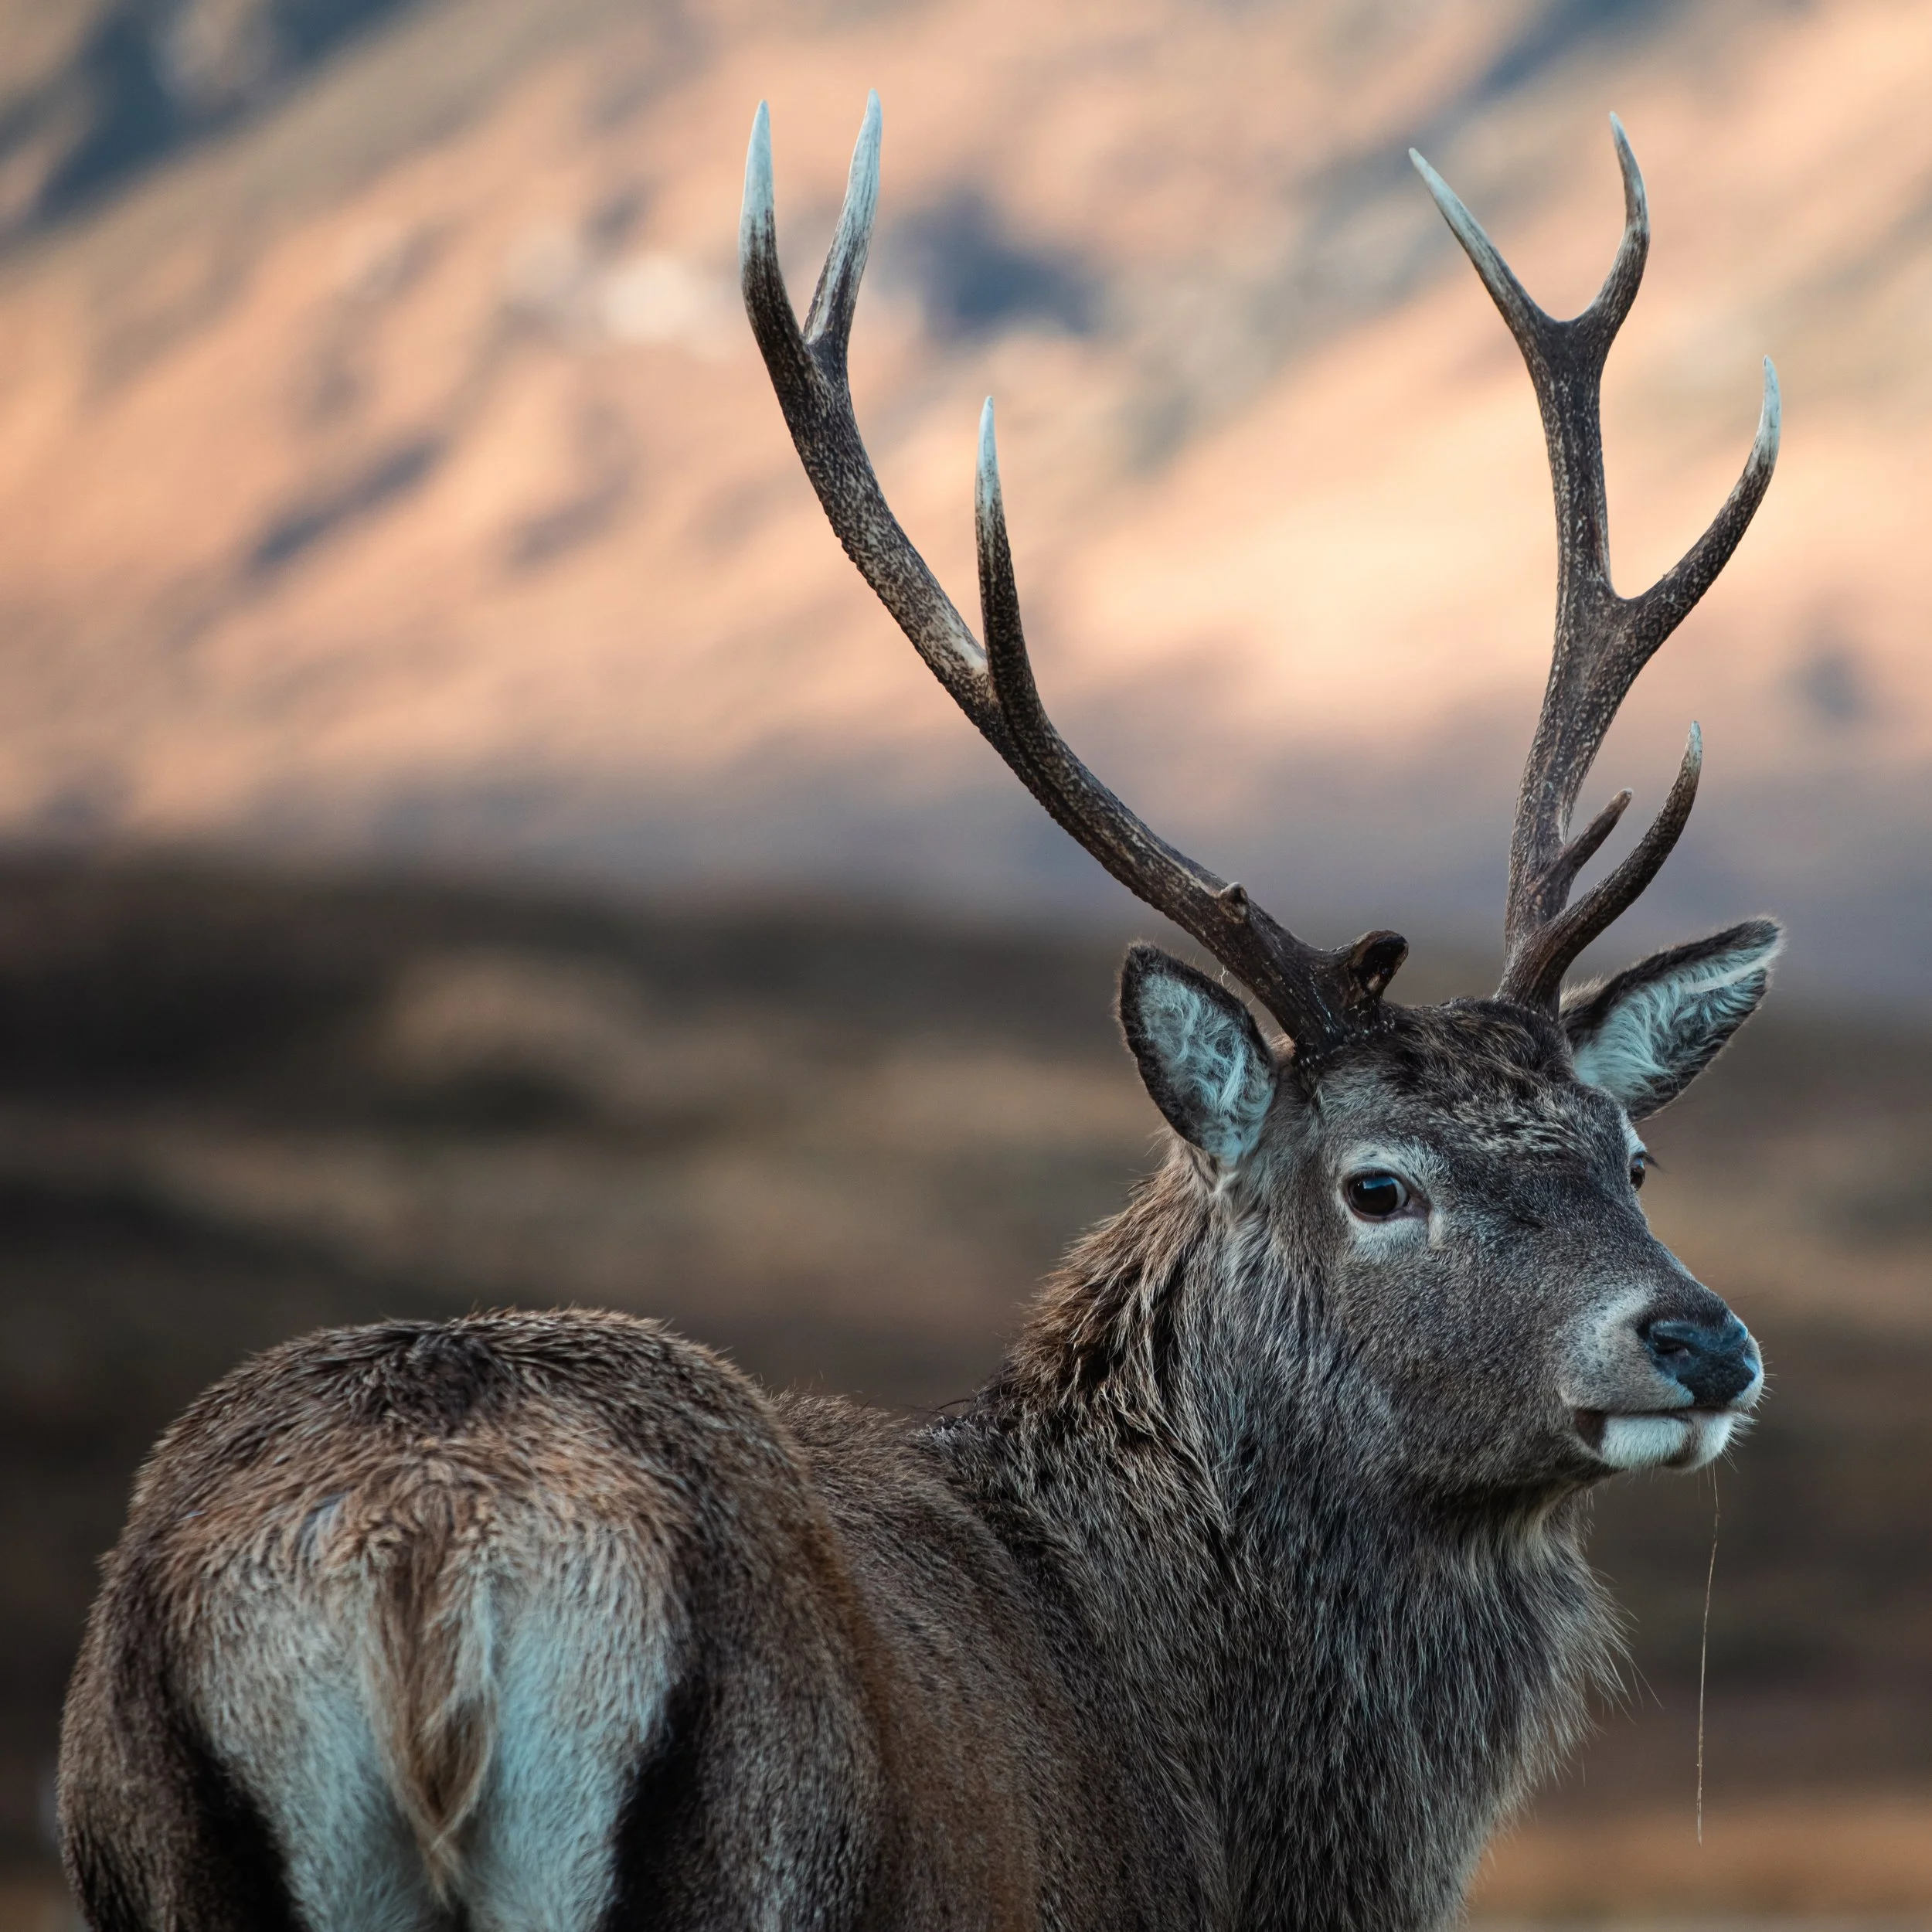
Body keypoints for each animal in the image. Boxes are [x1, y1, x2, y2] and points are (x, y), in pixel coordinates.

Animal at [59, 95, 1783, 1932]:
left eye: (1633, 1156)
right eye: (1378, 1181)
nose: (1699, 1337)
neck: (1246, 1827)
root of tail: (430, 1558)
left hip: (155, 1843)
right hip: (762, 1856)